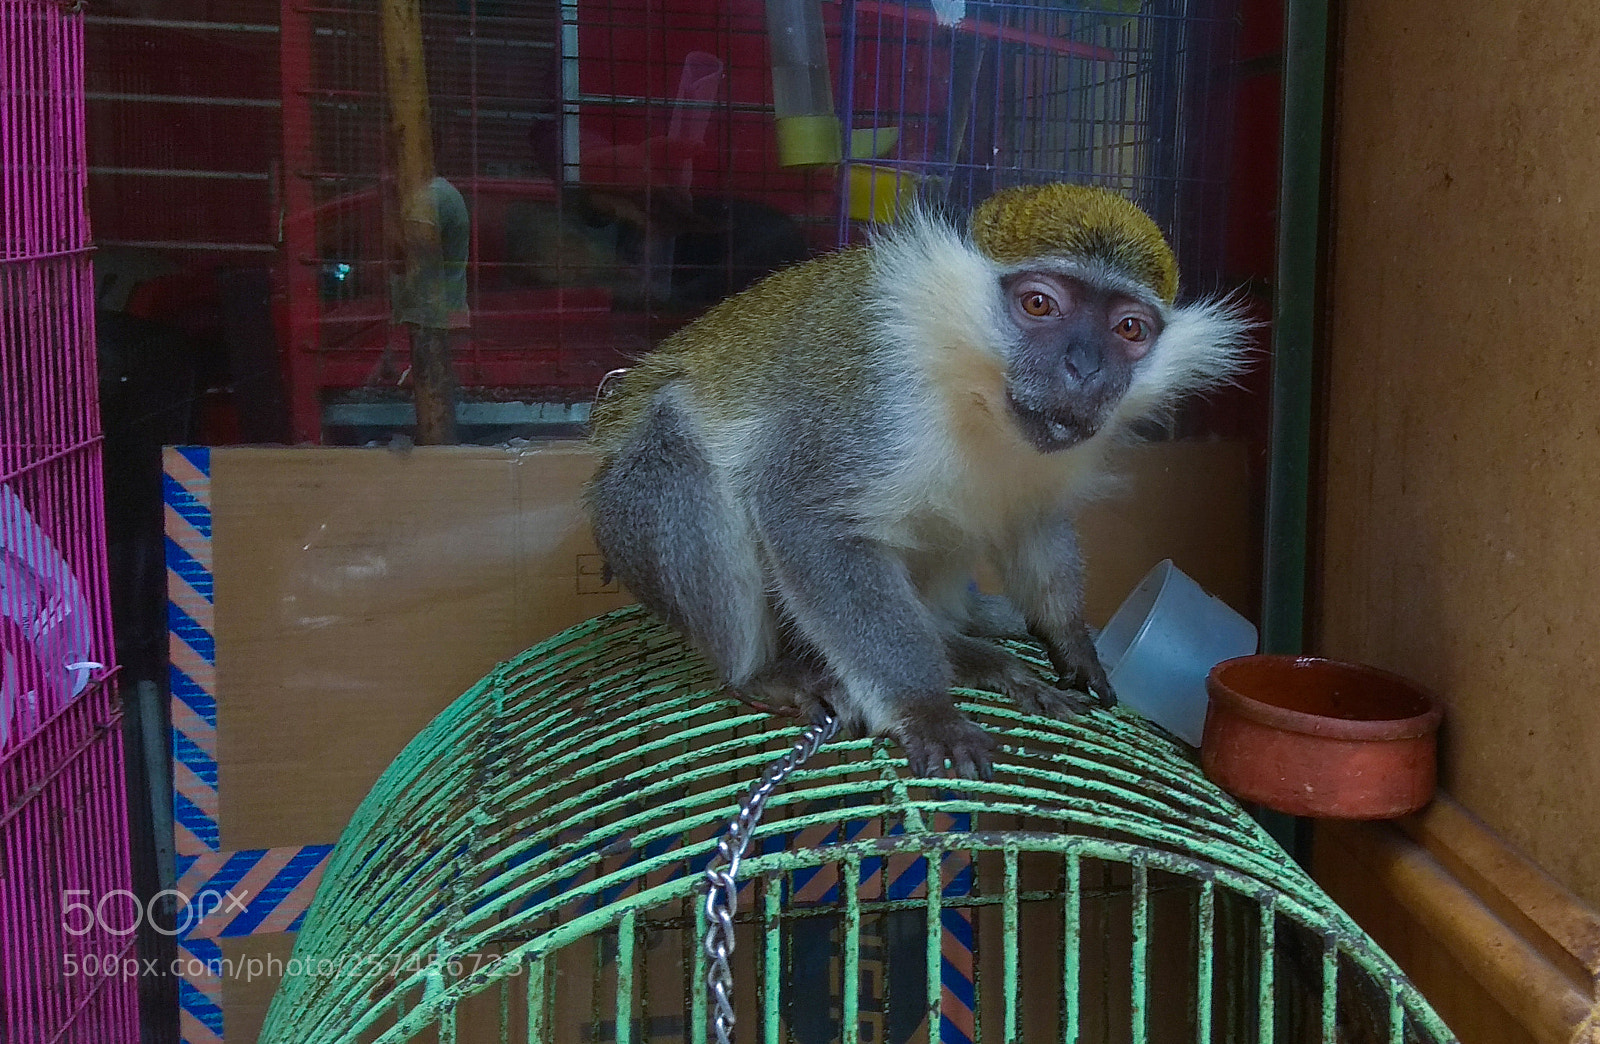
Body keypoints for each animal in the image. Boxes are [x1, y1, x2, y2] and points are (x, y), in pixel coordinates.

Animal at [585, 182, 1252, 779]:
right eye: (1040, 305)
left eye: (1130, 329)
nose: (1083, 368)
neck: (972, 384)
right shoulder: (869, 403)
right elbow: (804, 517)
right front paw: (926, 710)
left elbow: (1034, 523)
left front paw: (1069, 641)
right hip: (628, 516)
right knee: (672, 436)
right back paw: (761, 672)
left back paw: (971, 650)